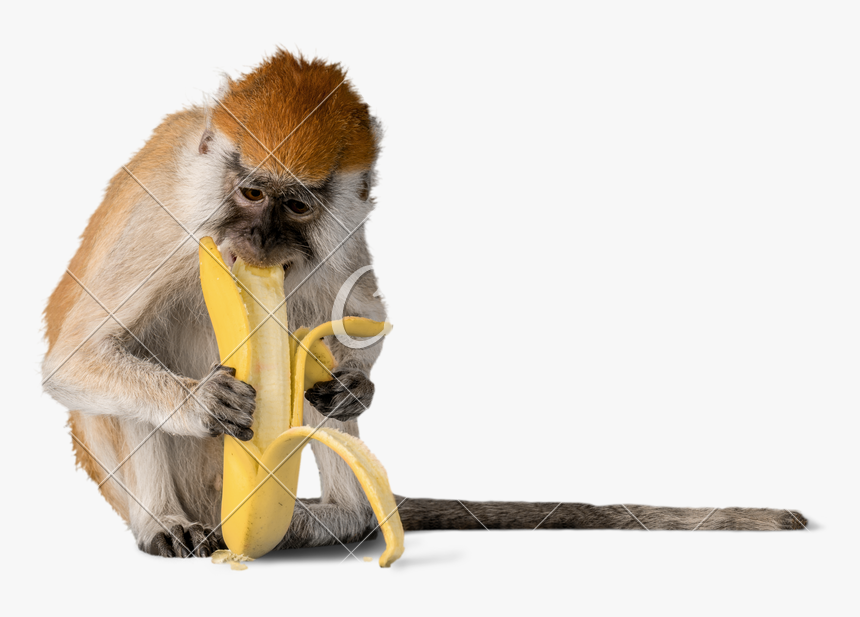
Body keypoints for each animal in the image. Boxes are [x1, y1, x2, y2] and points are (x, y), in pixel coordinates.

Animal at [41, 50, 806, 559]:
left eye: (295, 205)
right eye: (250, 192)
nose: (257, 239)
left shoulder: (342, 226)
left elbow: (360, 316)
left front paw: (357, 385)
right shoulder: (171, 222)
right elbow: (77, 358)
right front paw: (203, 401)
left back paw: (337, 517)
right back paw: (170, 523)